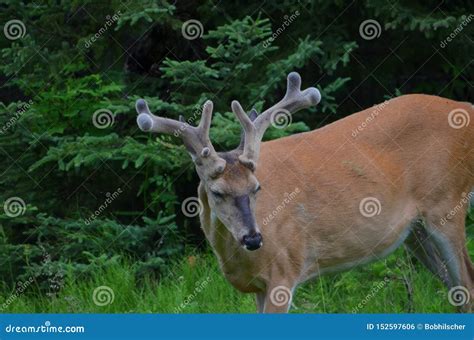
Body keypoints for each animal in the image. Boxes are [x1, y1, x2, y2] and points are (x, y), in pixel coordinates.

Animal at [134, 72, 474, 314]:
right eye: (217, 192)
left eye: (257, 187)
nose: (253, 239)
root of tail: (466, 107)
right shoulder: (258, 287)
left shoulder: (284, 270)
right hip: (416, 232)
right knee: (456, 291)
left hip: (447, 203)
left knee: (467, 285)